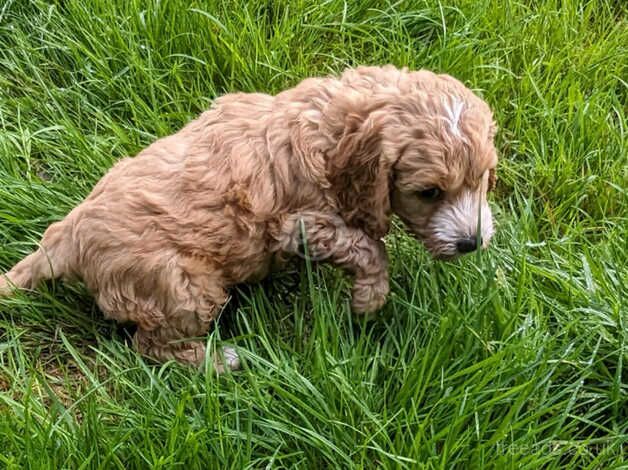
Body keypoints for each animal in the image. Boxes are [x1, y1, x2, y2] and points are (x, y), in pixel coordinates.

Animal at [1, 64, 500, 370]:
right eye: (429, 192)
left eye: (482, 179)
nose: (472, 243)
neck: (334, 130)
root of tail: (65, 237)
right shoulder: (299, 224)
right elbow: (369, 247)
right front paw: (368, 300)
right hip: (180, 287)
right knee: (151, 346)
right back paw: (220, 362)